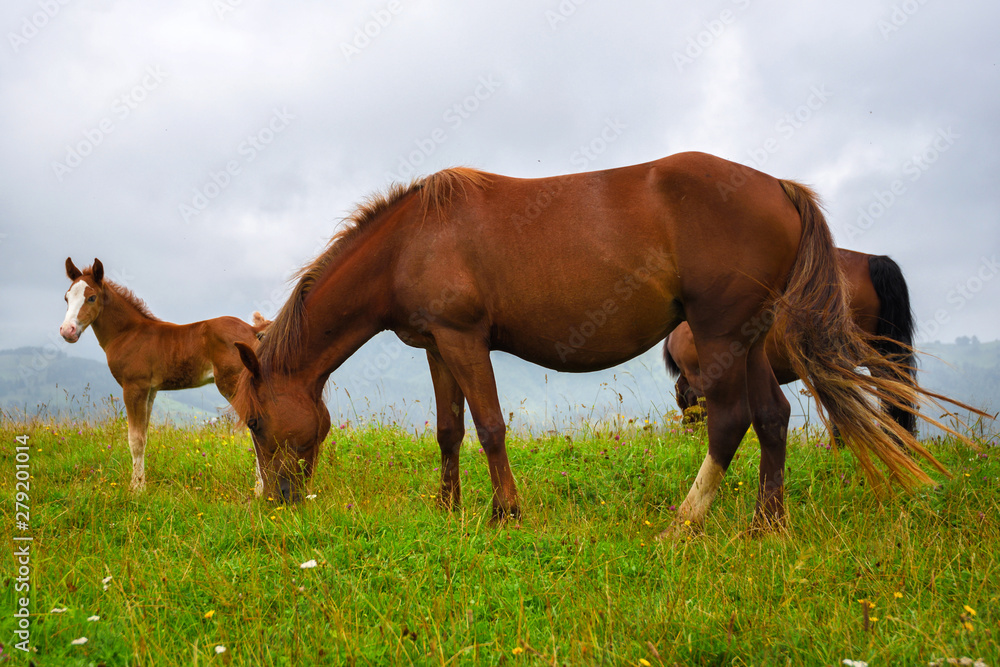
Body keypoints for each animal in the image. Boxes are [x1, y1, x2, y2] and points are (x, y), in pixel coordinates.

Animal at [60, 258, 271, 492]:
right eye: (67, 297)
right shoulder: (150, 390)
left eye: (91, 297)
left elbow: (135, 439)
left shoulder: (134, 387)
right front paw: (140, 483)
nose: (67, 331)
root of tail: (253, 330)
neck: (127, 333)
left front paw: (136, 490)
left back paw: (259, 490)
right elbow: (143, 436)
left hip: (232, 385)